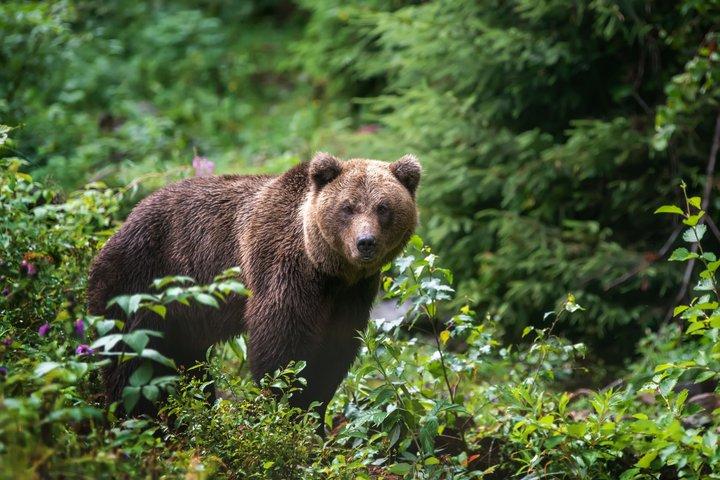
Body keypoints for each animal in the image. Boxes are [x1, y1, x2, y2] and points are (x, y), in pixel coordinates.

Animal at [87, 152, 421, 425]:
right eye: (348, 207)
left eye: (383, 207)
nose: (365, 242)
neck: (327, 270)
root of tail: (119, 226)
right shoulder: (284, 270)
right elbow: (280, 349)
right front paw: (286, 412)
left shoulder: (353, 295)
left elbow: (333, 354)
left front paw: (314, 419)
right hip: (141, 284)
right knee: (133, 360)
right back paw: (136, 417)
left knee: (184, 365)